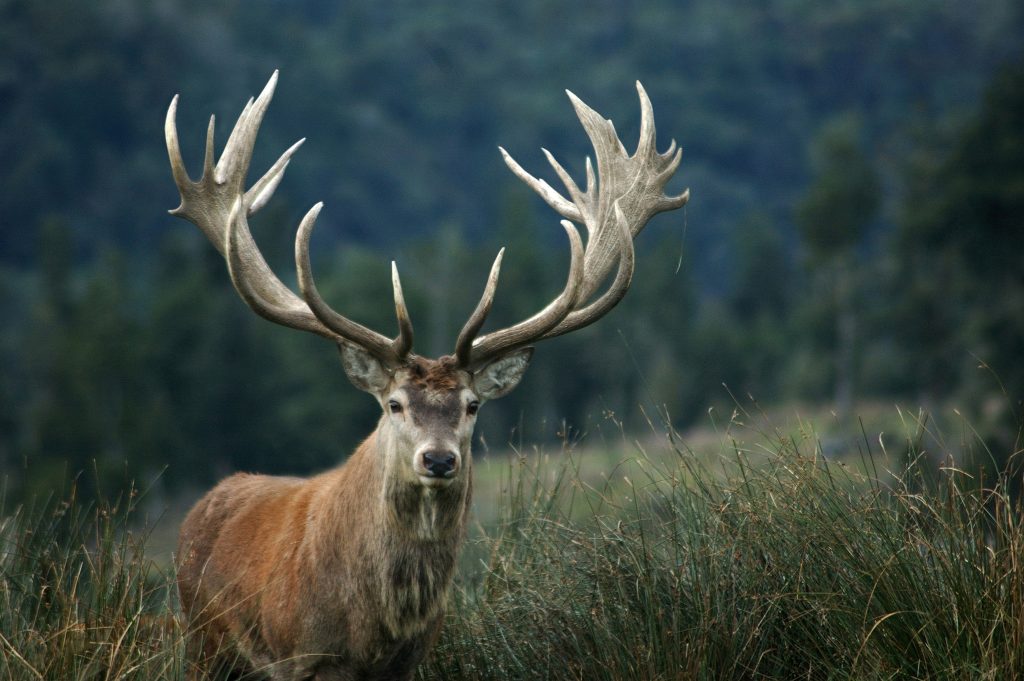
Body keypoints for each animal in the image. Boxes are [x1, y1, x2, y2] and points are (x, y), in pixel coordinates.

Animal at [166, 71, 688, 681]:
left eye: (472, 404)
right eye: (394, 404)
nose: (438, 459)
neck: (373, 630)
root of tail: (202, 507)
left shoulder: (409, 663)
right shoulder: (302, 656)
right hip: (203, 642)